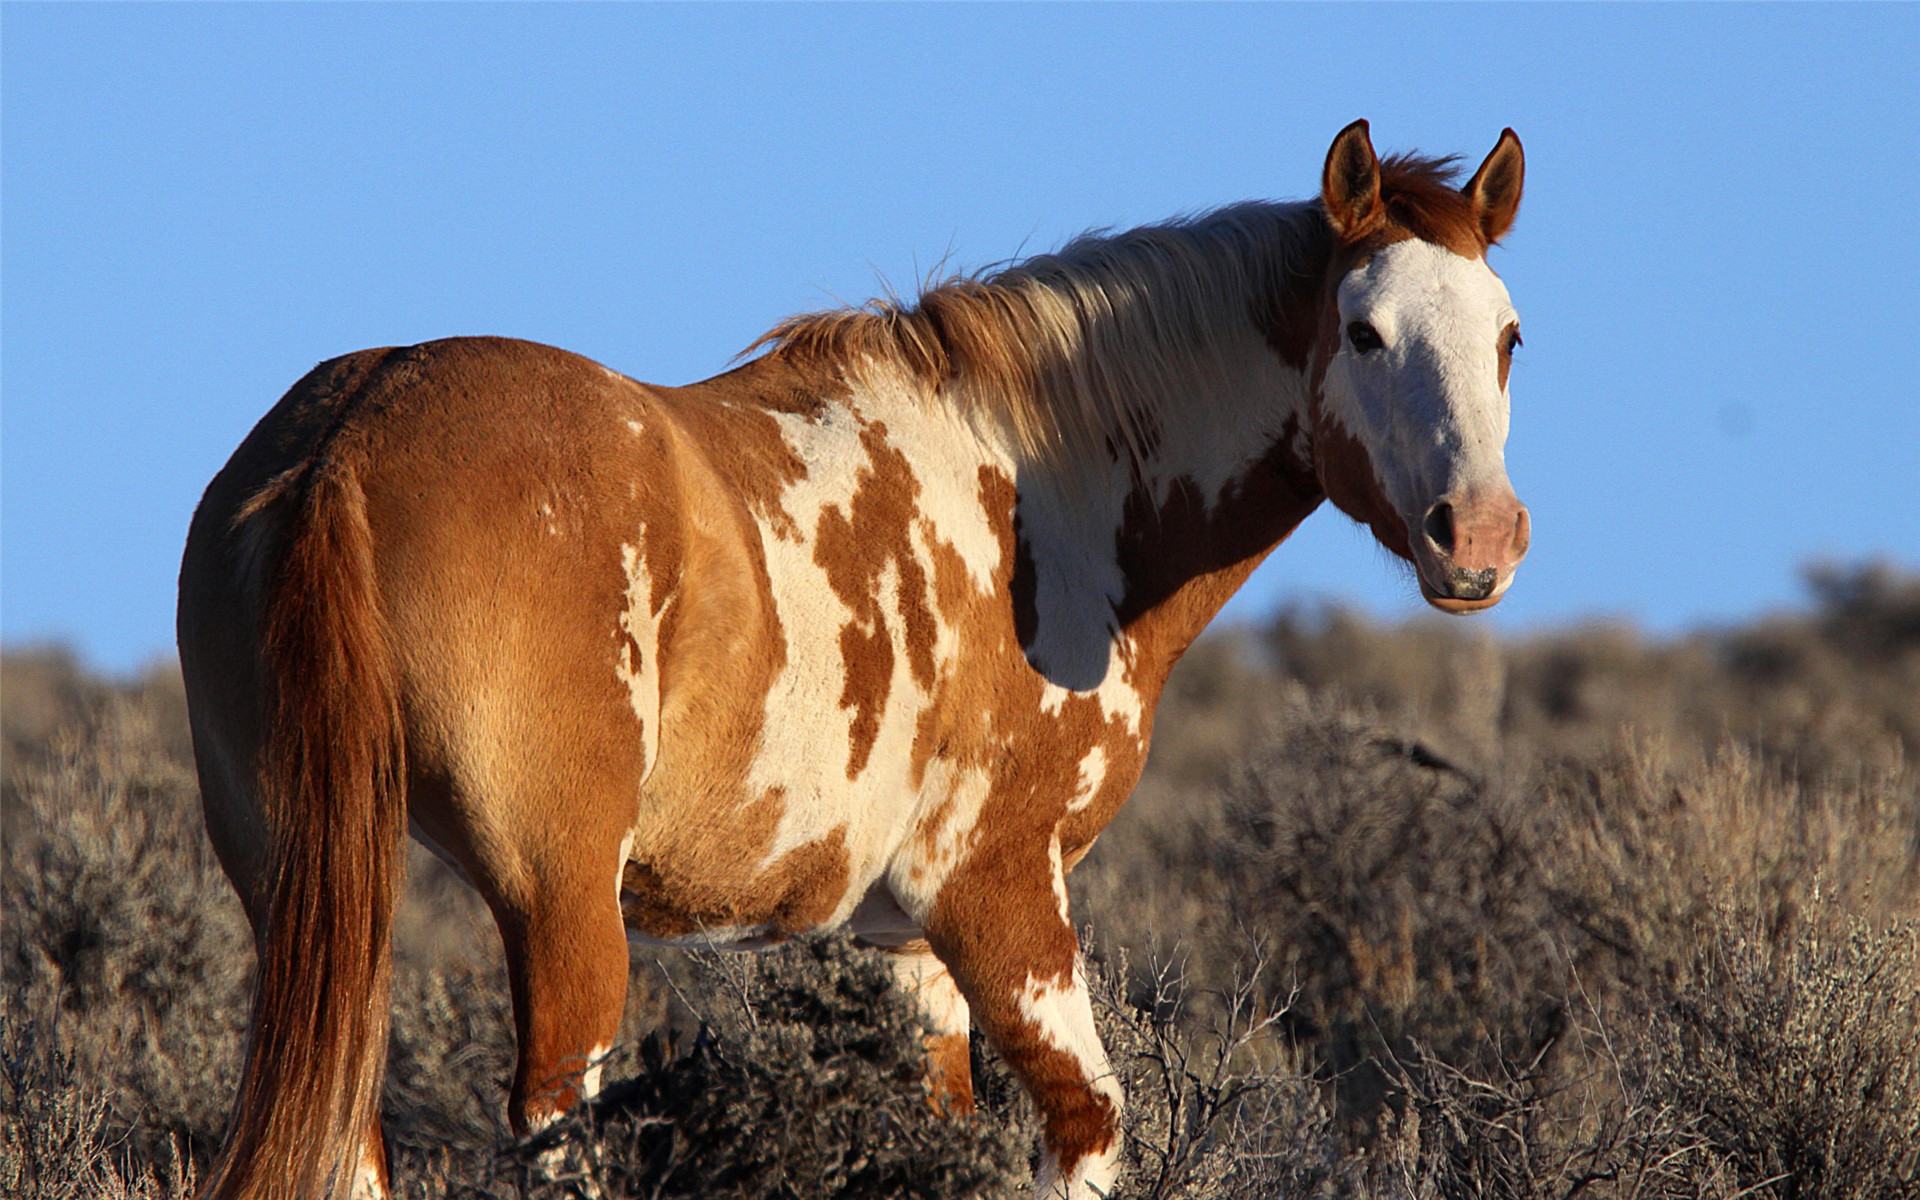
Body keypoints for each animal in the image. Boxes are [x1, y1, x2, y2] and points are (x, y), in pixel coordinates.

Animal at [178, 119, 1529, 1200]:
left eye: (1511, 336)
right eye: (1363, 330)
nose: (1479, 536)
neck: (1045, 494)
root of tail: (349, 439)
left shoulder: (905, 948)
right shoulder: (998, 893)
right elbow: (1088, 1128)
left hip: (309, 887)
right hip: (558, 904)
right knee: (555, 1127)